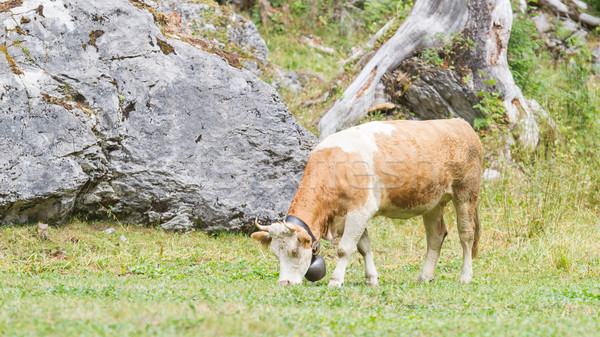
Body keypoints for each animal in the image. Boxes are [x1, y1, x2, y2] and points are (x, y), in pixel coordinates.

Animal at [250, 118, 482, 286]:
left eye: (294, 251)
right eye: (275, 253)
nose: (284, 283)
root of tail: (460, 123)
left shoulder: (360, 210)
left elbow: (344, 249)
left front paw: (335, 281)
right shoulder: (349, 215)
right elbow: (364, 247)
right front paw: (371, 279)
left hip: (466, 192)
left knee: (466, 235)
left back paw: (465, 276)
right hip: (432, 202)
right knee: (436, 236)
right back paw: (425, 277)